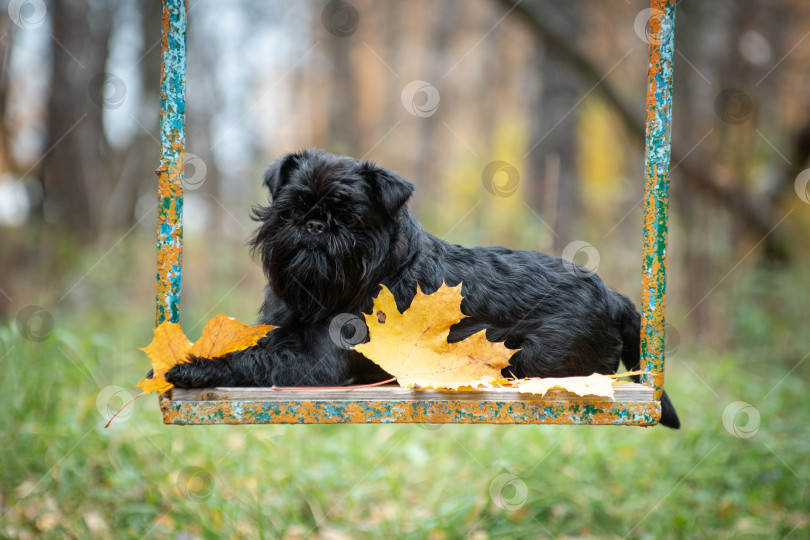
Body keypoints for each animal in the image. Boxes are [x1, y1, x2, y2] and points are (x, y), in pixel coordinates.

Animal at [167, 149, 680, 426]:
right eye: (290, 210)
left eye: (349, 219)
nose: (314, 225)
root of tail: (614, 297)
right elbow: (254, 343)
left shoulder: (317, 365)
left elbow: (253, 359)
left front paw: (194, 366)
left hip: (537, 360)